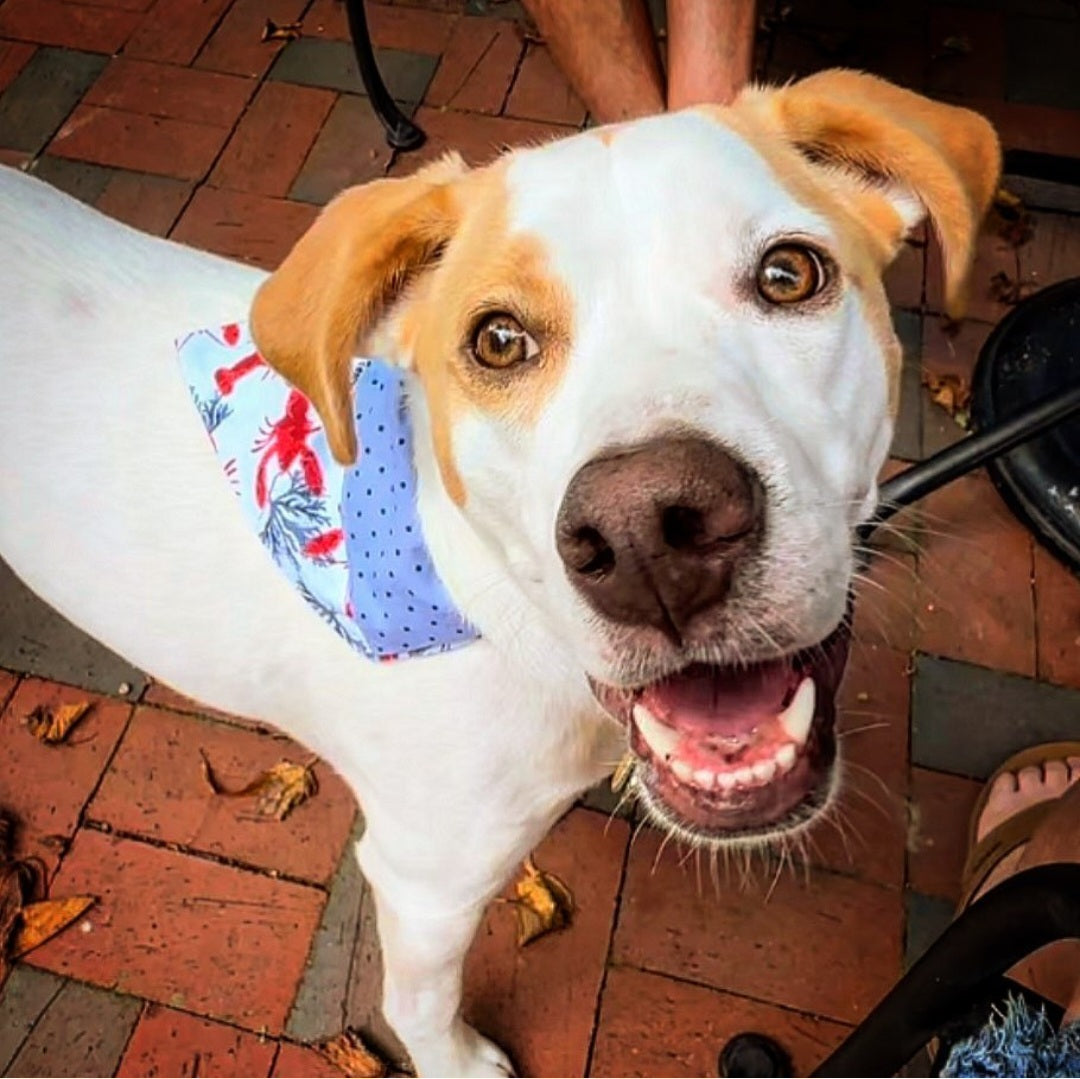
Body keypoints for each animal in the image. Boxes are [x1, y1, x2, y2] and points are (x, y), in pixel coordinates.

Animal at [0, 71, 993, 1075]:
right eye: (499, 340)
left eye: (791, 274)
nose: (647, 535)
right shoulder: (423, 879)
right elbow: (421, 1001)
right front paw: (457, 1059)